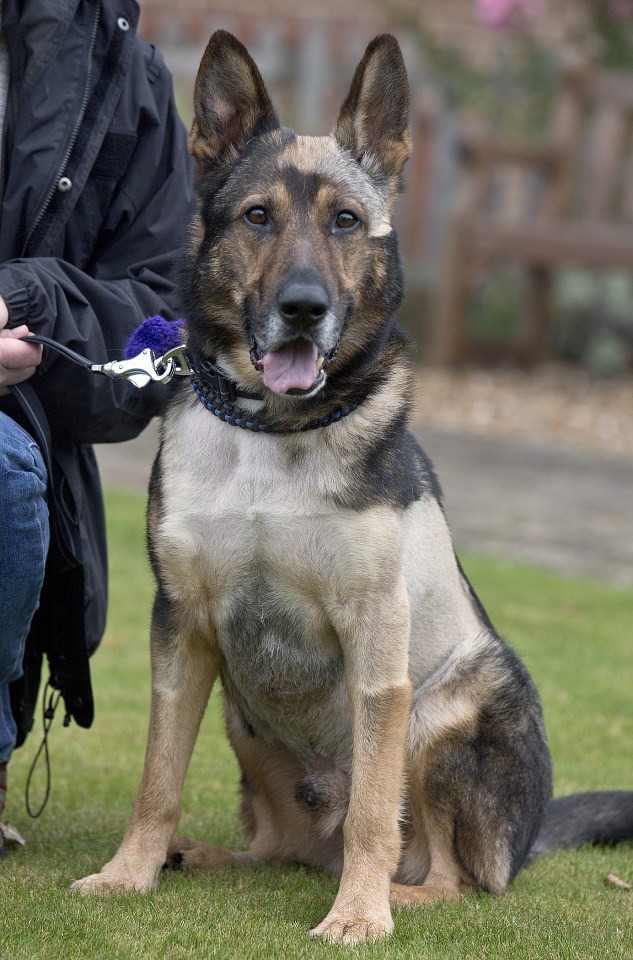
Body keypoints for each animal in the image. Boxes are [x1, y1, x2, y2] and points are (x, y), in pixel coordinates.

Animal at [78, 31, 632, 944]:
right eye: (257, 216)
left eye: (344, 221)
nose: (303, 308)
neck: (271, 433)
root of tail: (521, 842)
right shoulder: (181, 631)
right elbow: (156, 781)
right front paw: (130, 872)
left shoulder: (377, 642)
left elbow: (376, 808)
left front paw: (359, 917)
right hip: (241, 714)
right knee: (279, 848)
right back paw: (210, 857)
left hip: (446, 712)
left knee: (449, 874)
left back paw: (392, 894)